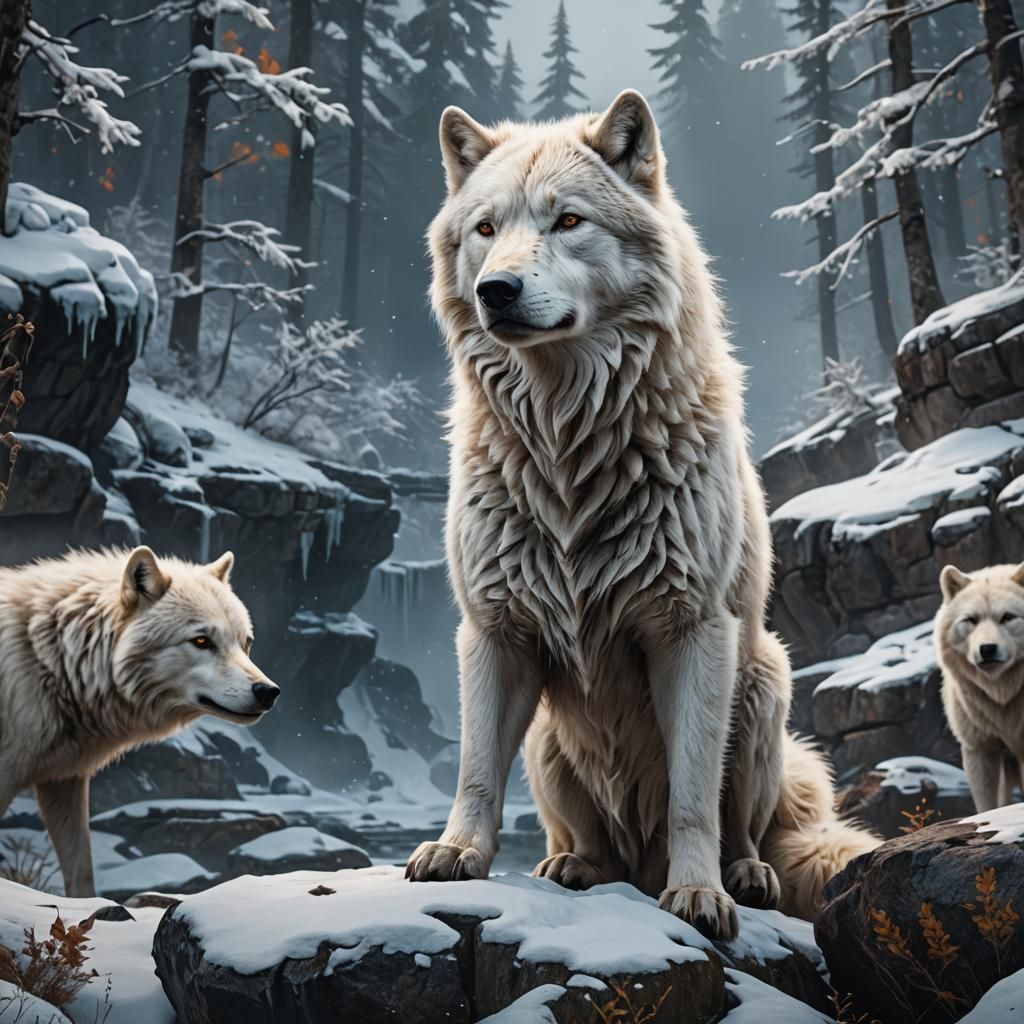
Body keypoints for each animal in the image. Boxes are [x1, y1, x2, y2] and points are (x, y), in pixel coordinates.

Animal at [0, 545, 279, 897]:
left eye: (246, 643)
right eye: (202, 641)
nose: (269, 692)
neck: (50, 660)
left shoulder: (65, 782)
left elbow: (82, 872)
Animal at [405, 90, 876, 938]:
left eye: (567, 221)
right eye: (486, 228)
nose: (497, 290)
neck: (569, 445)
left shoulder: (691, 630)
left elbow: (694, 795)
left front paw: (698, 894)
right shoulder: (494, 629)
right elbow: (475, 769)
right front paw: (456, 853)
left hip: (764, 688)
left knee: (744, 824)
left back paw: (743, 875)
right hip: (550, 744)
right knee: (586, 837)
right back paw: (575, 867)